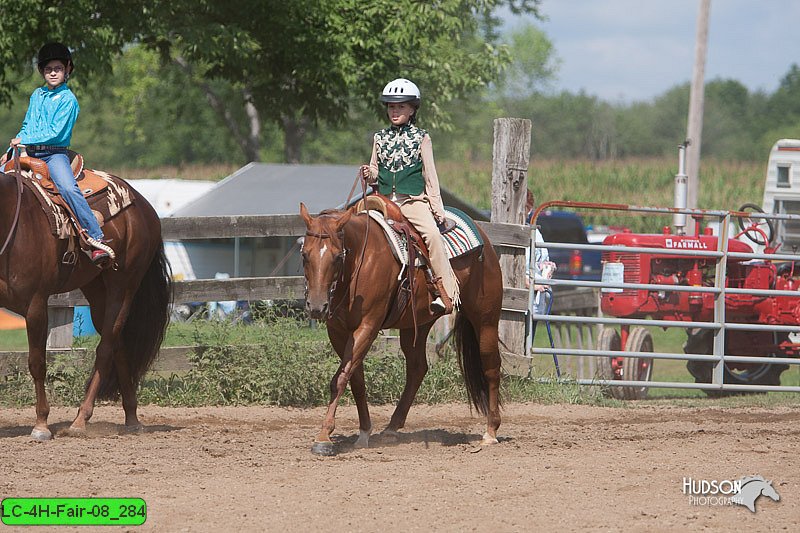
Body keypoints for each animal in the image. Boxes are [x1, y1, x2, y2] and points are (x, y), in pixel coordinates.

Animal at [0, 164, 169, 438]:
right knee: (118, 343)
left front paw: (41, 425)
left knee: (106, 347)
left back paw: (80, 420)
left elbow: (37, 363)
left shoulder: (36, 305)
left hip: (124, 286)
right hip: (96, 289)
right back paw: (131, 417)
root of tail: (143, 205)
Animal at [300, 202, 500, 456]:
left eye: (337, 257)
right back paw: (392, 428)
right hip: (417, 325)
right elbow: (355, 379)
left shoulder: (368, 325)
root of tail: (484, 238)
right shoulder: (338, 331)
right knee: (417, 368)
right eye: (304, 255)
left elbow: (341, 377)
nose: (317, 307)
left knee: (491, 366)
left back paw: (491, 431)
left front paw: (324, 436)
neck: (360, 261)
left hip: (486, 318)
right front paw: (364, 432)